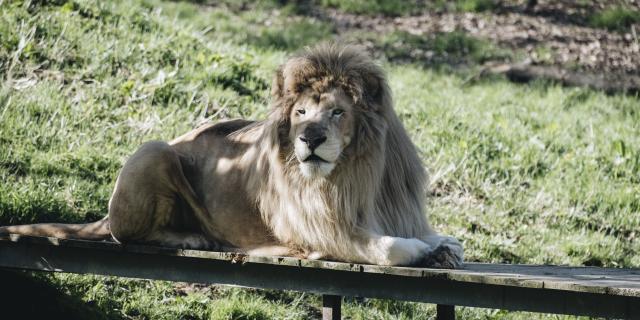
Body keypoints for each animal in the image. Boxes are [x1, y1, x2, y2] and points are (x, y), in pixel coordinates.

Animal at [2, 43, 468, 268]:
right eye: (301, 113)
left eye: (337, 112)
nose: (310, 139)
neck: (357, 172)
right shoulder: (325, 231)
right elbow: (387, 248)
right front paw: (424, 253)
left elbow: (440, 238)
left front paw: (444, 245)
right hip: (154, 151)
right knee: (127, 234)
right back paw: (193, 237)